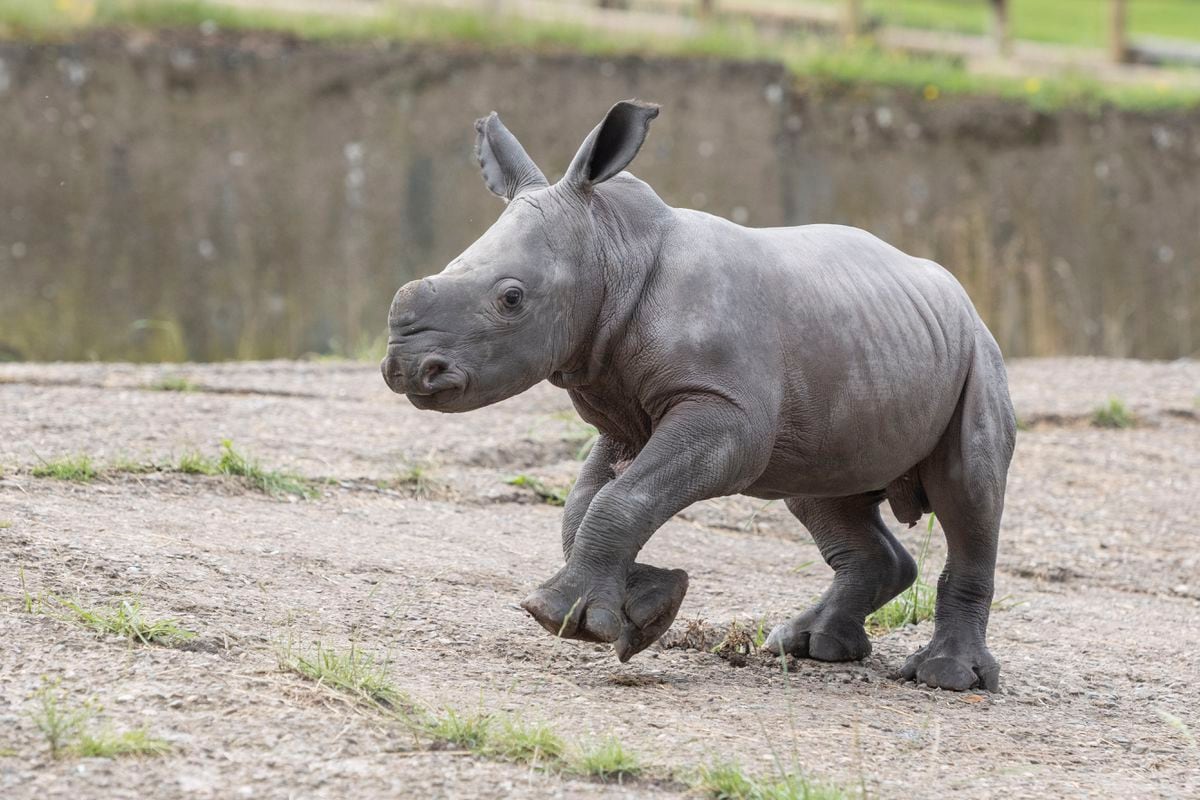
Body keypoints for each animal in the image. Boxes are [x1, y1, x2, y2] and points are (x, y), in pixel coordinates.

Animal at [381, 98, 1012, 690]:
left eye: (511, 298)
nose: (408, 370)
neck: (613, 249)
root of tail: (958, 293)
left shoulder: (723, 411)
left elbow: (619, 499)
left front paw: (568, 619)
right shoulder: (621, 411)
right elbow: (588, 504)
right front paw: (645, 609)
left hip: (978, 352)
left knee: (968, 491)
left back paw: (944, 677)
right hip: (861, 355)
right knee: (821, 491)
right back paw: (807, 646)